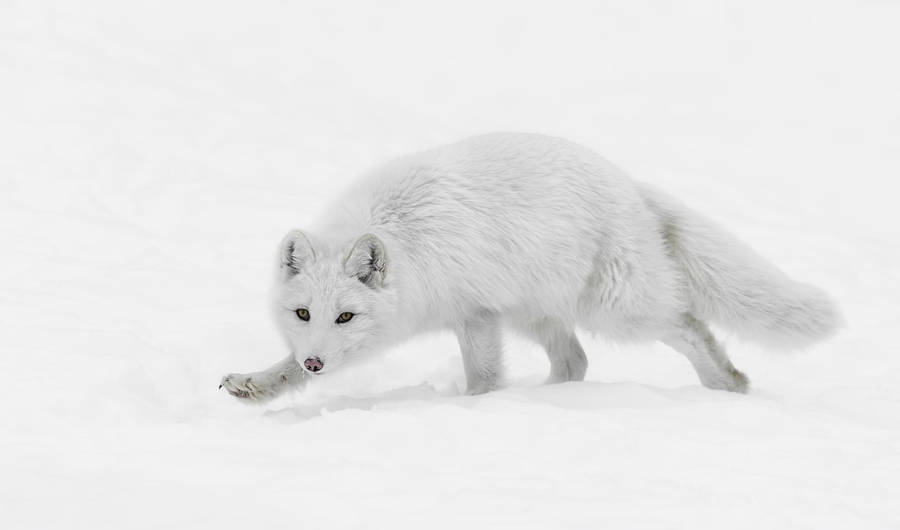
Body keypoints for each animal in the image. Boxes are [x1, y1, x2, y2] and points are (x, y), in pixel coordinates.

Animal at [220, 132, 841, 401]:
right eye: (303, 313)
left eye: (345, 316)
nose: (318, 361)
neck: (409, 241)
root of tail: (628, 182)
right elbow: (286, 369)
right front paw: (256, 384)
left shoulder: (474, 314)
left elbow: (483, 378)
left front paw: (476, 407)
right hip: (535, 314)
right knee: (576, 361)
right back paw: (549, 401)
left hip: (617, 310)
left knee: (688, 325)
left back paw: (727, 384)